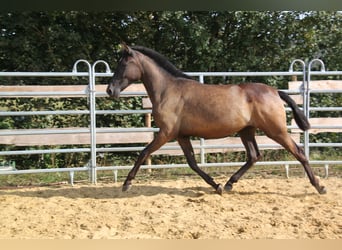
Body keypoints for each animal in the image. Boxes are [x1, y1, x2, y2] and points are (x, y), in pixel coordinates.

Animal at [107, 43, 326, 195]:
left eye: (124, 63)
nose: (110, 90)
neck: (168, 90)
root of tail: (274, 91)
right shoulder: (181, 135)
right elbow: (192, 163)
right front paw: (217, 185)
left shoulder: (166, 133)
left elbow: (143, 152)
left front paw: (126, 184)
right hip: (246, 131)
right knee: (254, 156)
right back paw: (229, 184)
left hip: (276, 131)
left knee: (298, 152)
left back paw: (319, 187)